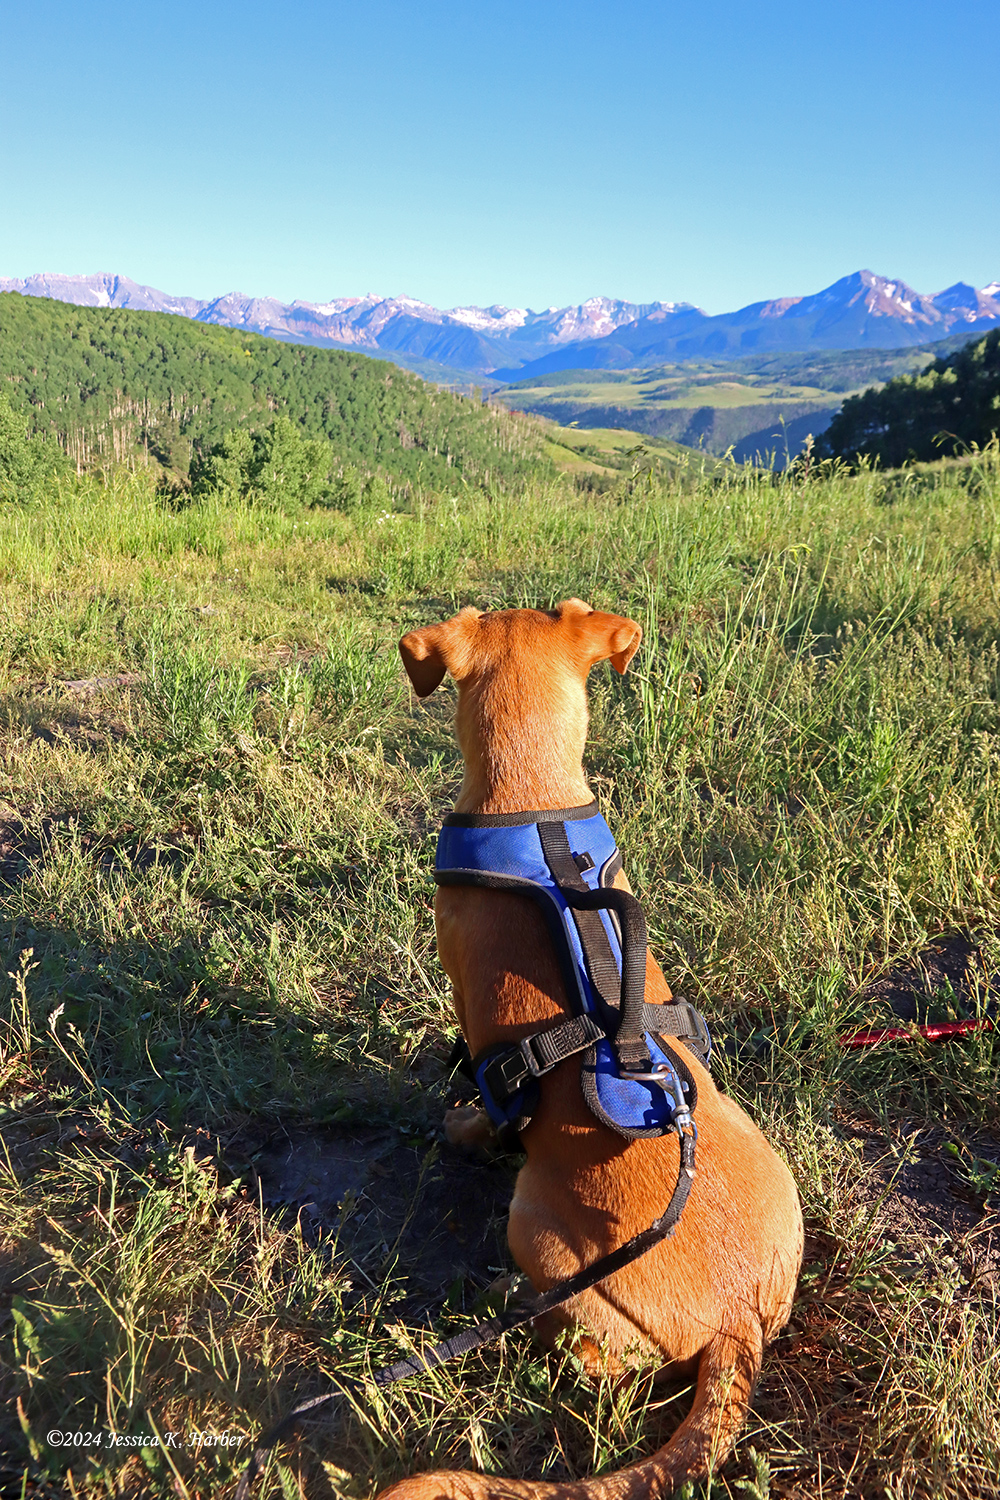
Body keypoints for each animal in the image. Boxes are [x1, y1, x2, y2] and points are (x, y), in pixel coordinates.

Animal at [389, 599, 803, 1500]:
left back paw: (523, 1313)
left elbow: (486, 1102)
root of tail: (739, 1321)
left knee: (602, 1367)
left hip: (538, 1230)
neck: (538, 805)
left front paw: (464, 1129)